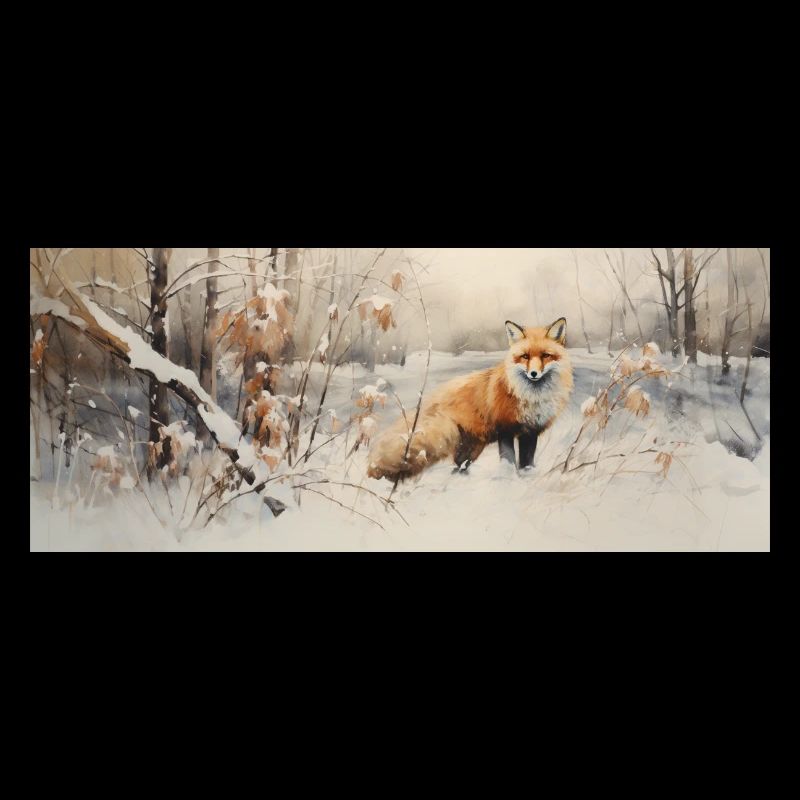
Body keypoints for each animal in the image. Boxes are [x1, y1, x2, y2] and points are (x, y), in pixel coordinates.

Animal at [367, 317, 574, 481]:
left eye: (546, 356)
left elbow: (527, 463)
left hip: (471, 448)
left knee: (459, 466)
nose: (533, 374)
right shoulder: (505, 429)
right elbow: (508, 460)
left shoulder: (530, 432)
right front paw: (508, 479)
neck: (532, 398)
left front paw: (527, 477)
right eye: (525, 356)